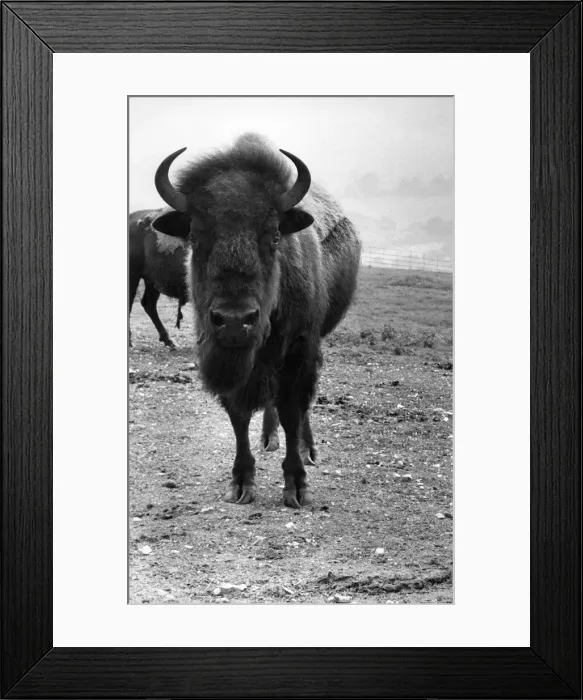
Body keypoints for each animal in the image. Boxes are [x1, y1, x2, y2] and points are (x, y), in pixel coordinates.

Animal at [151, 134, 361, 507]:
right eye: (195, 236)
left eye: (274, 236)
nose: (235, 321)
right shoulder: (225, 359)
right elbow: (239, 415)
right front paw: (241, 482)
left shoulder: (299, 351)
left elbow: (292, 410)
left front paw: (297, 486)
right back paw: (268, 439)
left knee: (299, 407)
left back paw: (307, 449)